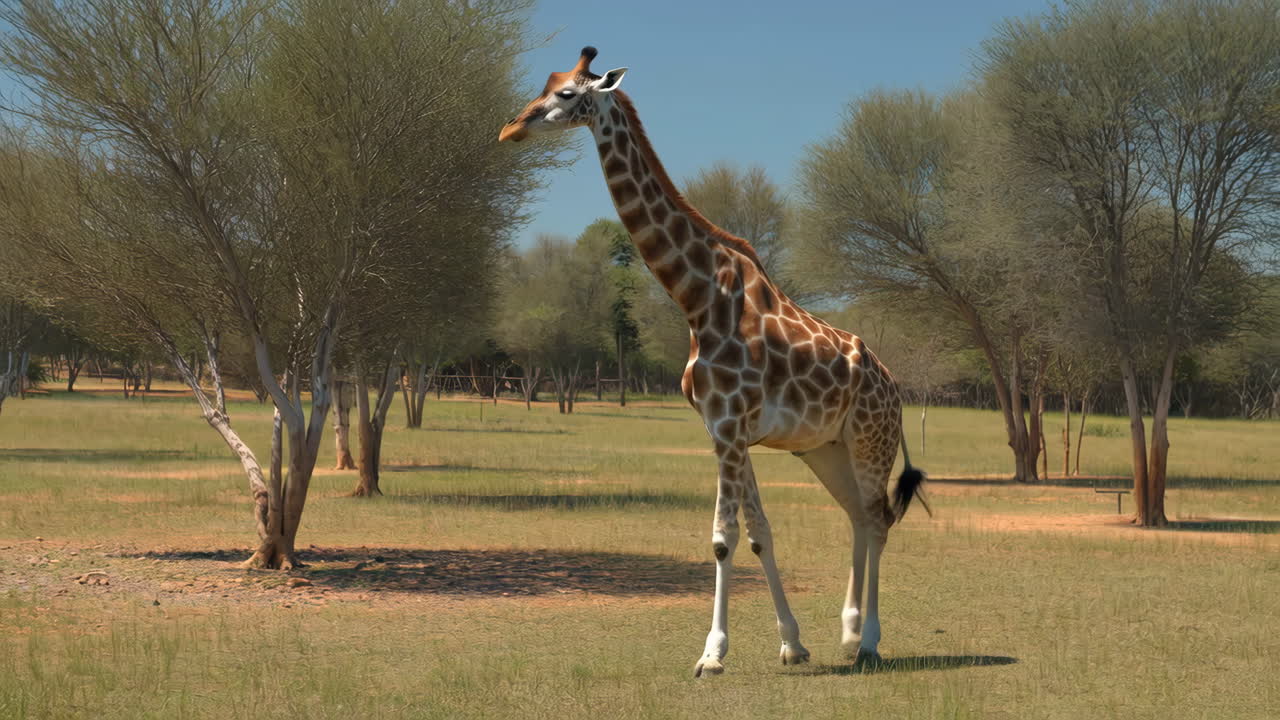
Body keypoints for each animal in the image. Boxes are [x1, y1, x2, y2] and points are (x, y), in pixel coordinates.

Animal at [499, 47, 929, 677]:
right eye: (545, 85)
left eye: (566, 94)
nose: (510, 128)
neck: (696, 297)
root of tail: (895, 385)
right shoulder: (723, 429)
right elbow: (759, 532)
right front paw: (792, 643)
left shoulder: (729, 426)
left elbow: (724, 536)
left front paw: (712, 655)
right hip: (826, 448)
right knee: (858, 516)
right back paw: (848, 634)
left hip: (872, 440)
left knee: (878, 520)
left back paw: (870, 640)